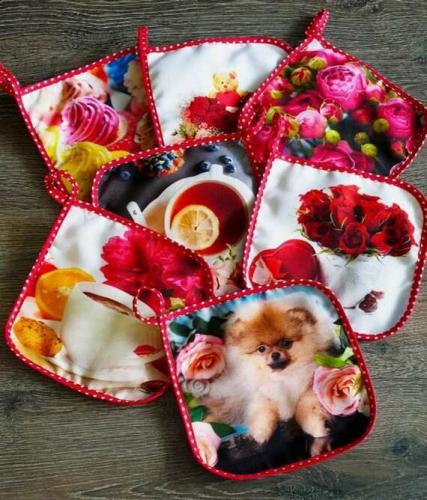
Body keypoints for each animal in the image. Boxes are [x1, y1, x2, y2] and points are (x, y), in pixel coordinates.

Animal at [200, 293, 340, 452]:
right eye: (261, 349)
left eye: (286, 343)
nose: (275, 354)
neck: (282, 377)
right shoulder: (261, 394)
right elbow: (263, 410)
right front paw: (261, 433)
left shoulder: (309, 388)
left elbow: (307, 408)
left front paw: (316, 429)